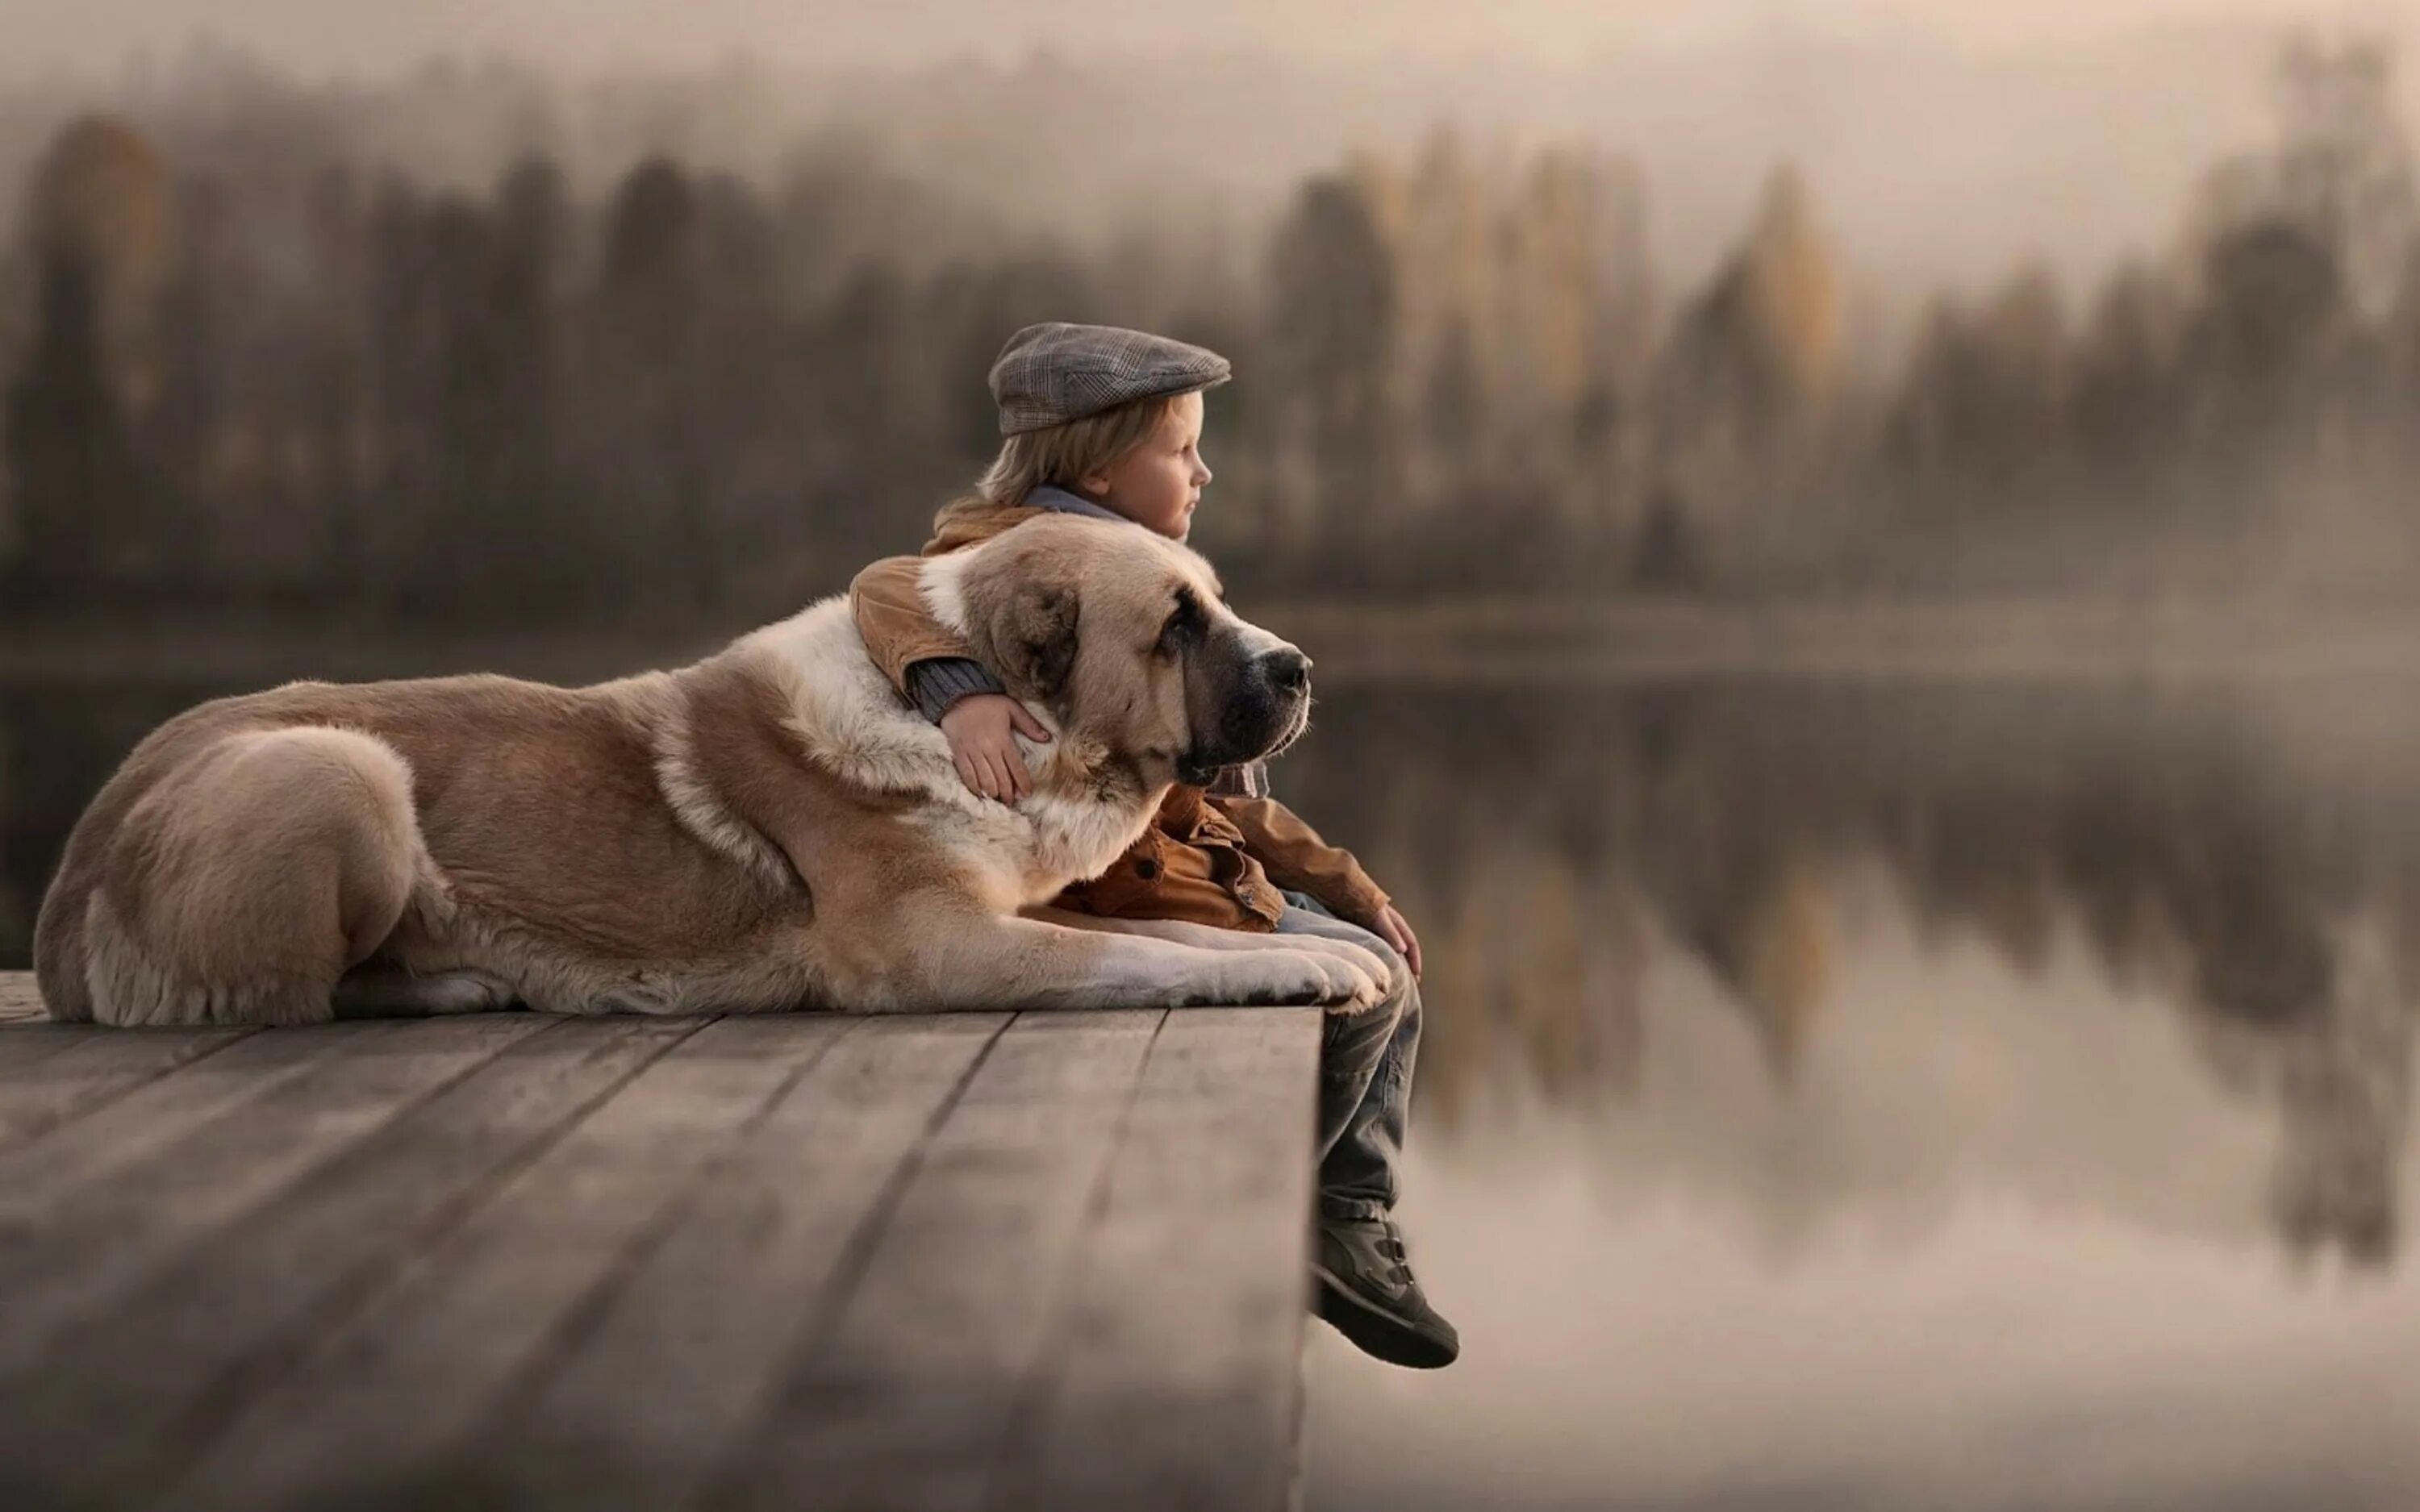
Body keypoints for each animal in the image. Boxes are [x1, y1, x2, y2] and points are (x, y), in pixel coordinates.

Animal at [33, 518, 1384, 1026]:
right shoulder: (932, 944)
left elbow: (1177, 933)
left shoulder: (1004, 907)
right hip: (340, 770)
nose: (1302, 665)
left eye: (1214, 597)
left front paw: (1327, 951)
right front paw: (1301, 963)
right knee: (285, 997)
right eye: (1174, 625)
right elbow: (1144, 954)